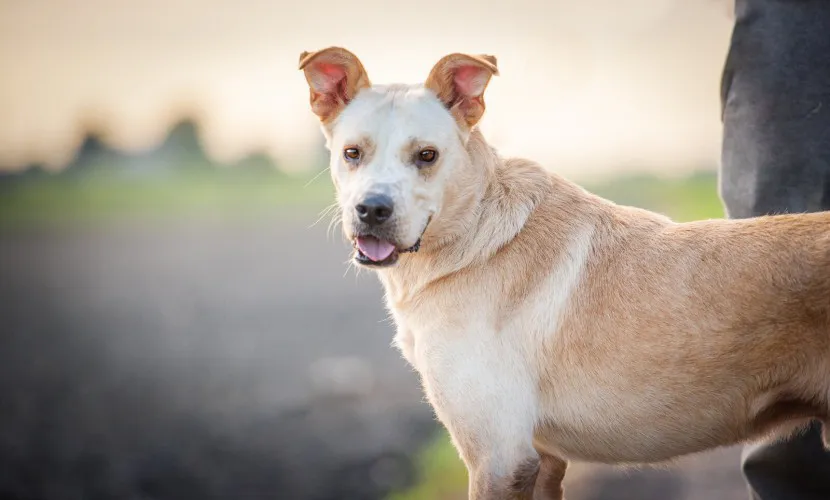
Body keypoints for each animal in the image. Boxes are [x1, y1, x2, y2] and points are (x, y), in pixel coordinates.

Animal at [300, 47, 830, 500]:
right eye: (352, 153)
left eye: (426, 156)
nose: (372, 210)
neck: (474, 233)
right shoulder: (543, 460)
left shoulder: (499, 457)